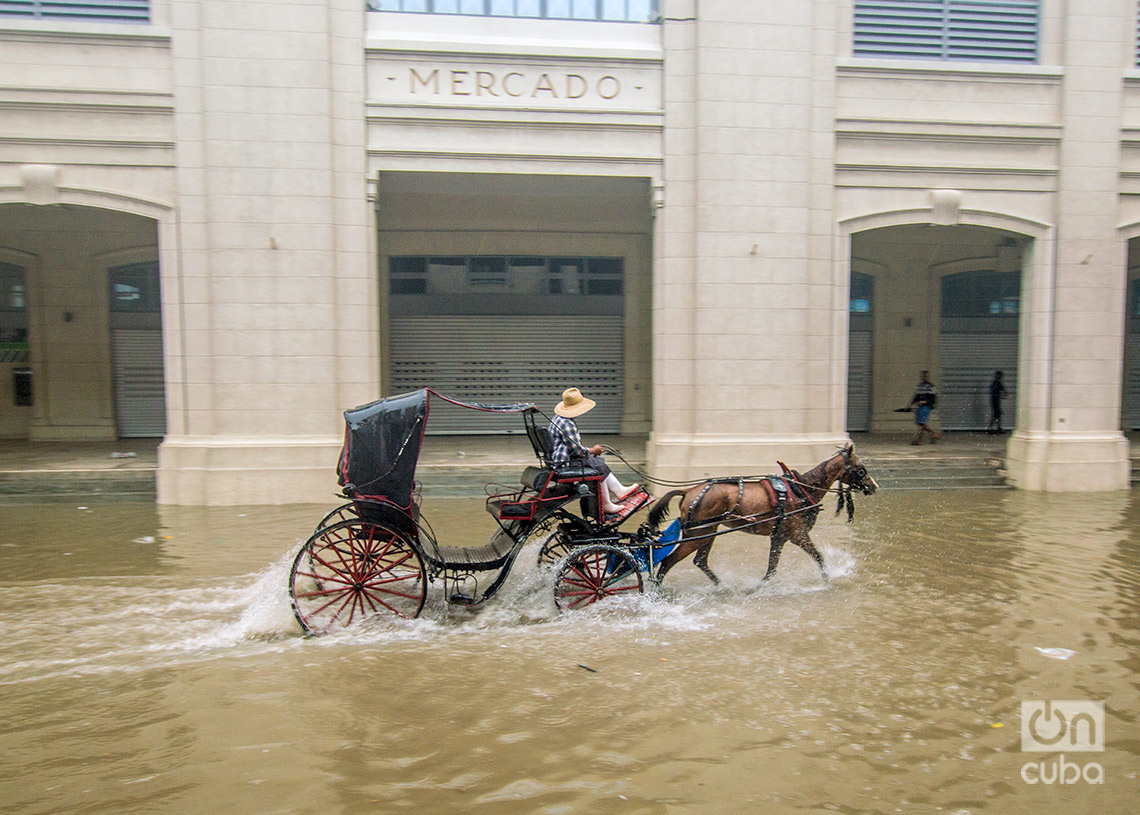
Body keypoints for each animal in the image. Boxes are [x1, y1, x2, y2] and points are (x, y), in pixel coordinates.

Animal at [647, 446, 875, 588]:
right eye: (861, 469)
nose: (874, 486)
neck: (801, 489)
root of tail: (688, 492)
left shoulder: (779, 537)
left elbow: (771, 569)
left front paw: (758, 587)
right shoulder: (798, 535)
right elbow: (818, 557)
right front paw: (827, 581)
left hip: (708, 532)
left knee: (700, 561)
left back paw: (723, 587)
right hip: (698, 534)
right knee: (667, 562)